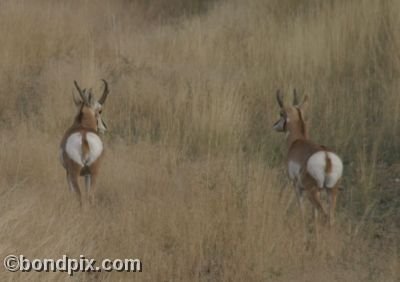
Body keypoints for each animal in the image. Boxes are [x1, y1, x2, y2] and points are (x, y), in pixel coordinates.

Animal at [274, 90, 342, 238]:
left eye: (281, 113)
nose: (274, 125)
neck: (297, 141)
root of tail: (326, 157)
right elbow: (313, 215)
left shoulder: (296, 186)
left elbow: (302, 210)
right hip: (330, 192)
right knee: (330, 219)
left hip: (312, 192)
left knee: (324, 215)